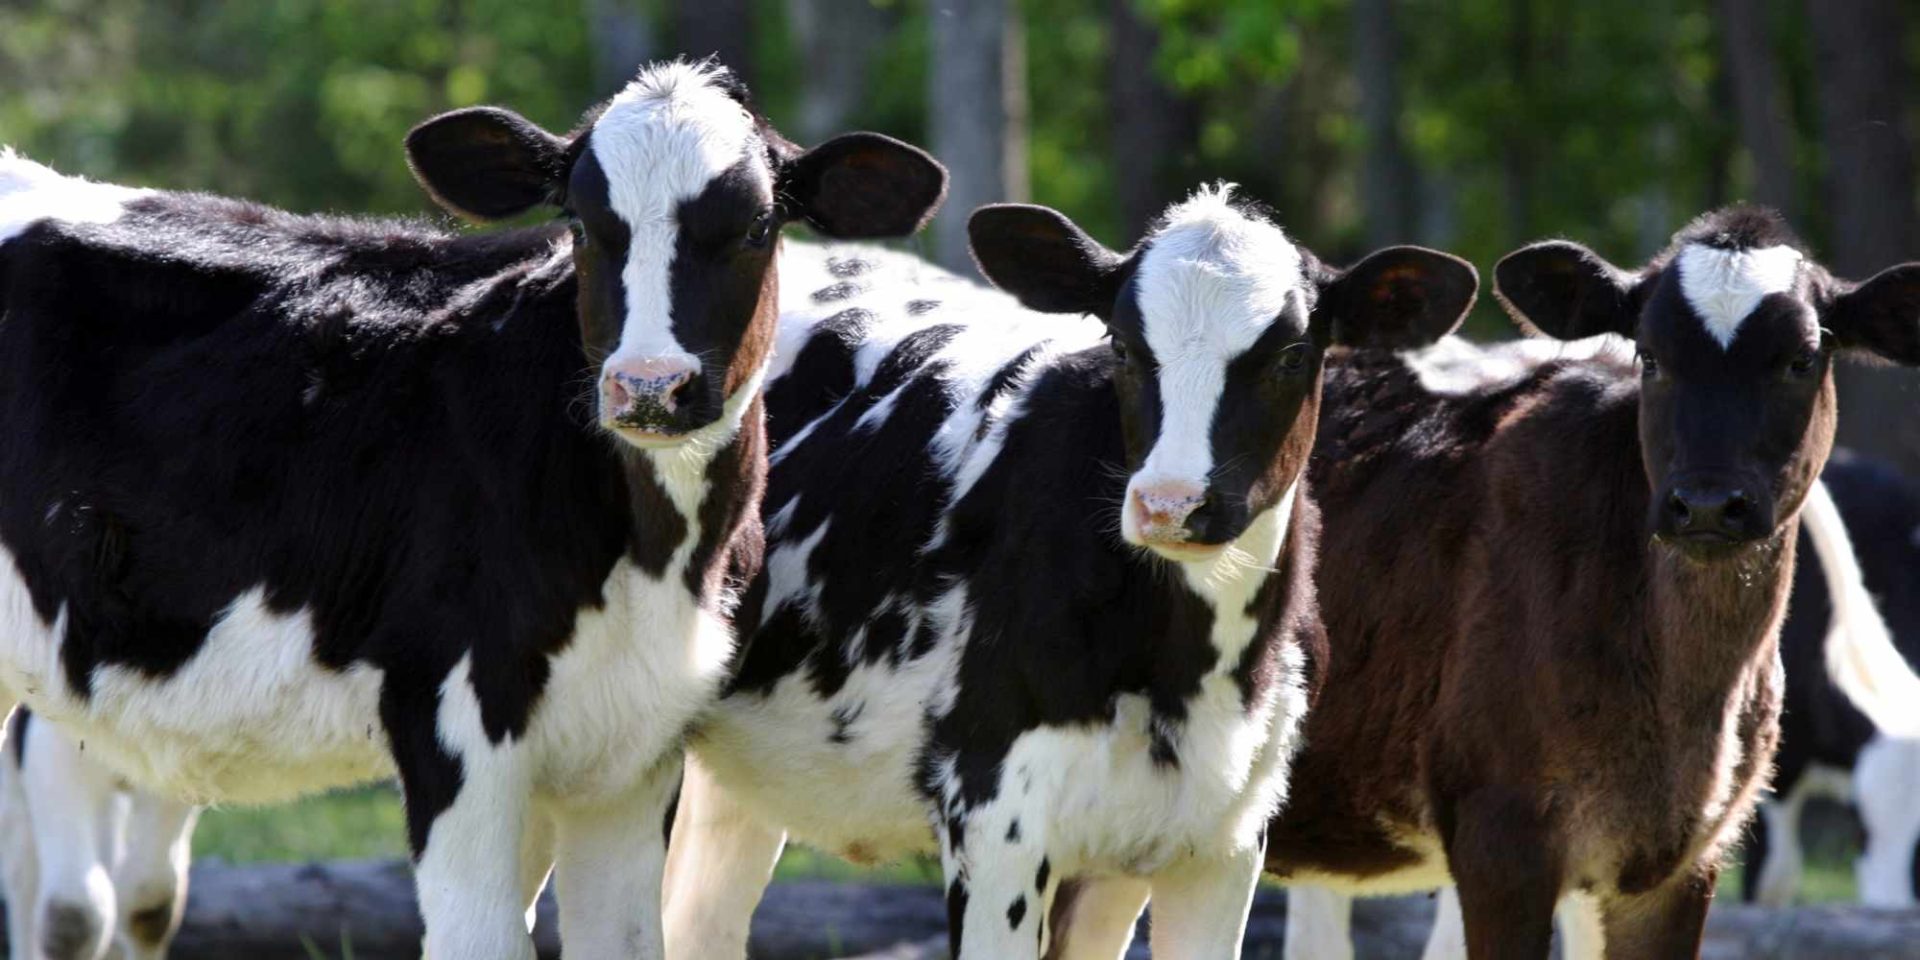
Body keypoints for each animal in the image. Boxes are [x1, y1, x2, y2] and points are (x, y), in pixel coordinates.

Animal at [659, 185, 1479, 959]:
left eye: (1290, 357)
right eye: (1121, 344)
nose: (1170, 502)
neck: (1181, 666)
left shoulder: (1222, 841)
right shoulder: (994, 817)